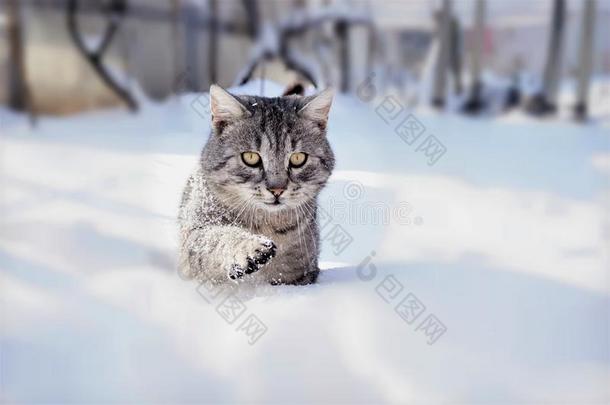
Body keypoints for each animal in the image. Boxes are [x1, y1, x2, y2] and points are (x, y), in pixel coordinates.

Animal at [178, 84, 334, 284]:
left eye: (298, 158)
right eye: (251, 157)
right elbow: (217, 237)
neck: (266, 224)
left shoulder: (303, 272)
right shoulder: (193, 236)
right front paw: (250, 247)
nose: (277, 190)